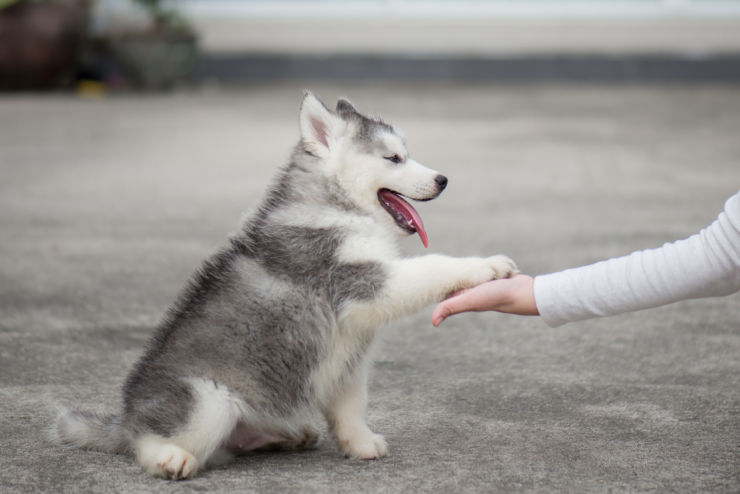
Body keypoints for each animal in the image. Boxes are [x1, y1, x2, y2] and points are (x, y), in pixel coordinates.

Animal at [55, 91, 516, 478]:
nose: (443, 180)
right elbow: (432, 266)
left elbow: (351, 405)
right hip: (207, 401)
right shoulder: (360, 280)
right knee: (150, 441)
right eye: (394, 157)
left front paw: (360, 442)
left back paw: (288, 435)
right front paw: (487, 266)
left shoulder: (349, 354)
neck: (336, 205)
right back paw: (169, 457)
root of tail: (126, 417)